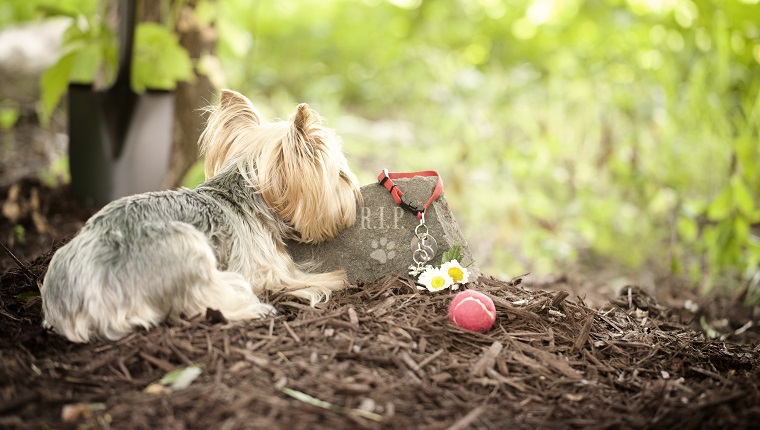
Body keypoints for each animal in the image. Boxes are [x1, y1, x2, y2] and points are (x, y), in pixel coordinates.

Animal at [40, 90, 362, 342]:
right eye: (342, 176)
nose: (354, 194)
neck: (246, 189)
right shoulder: (266, 269)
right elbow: (301, 279)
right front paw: (331, 280)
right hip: (187, 247)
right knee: (205, 301)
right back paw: (255, 309)